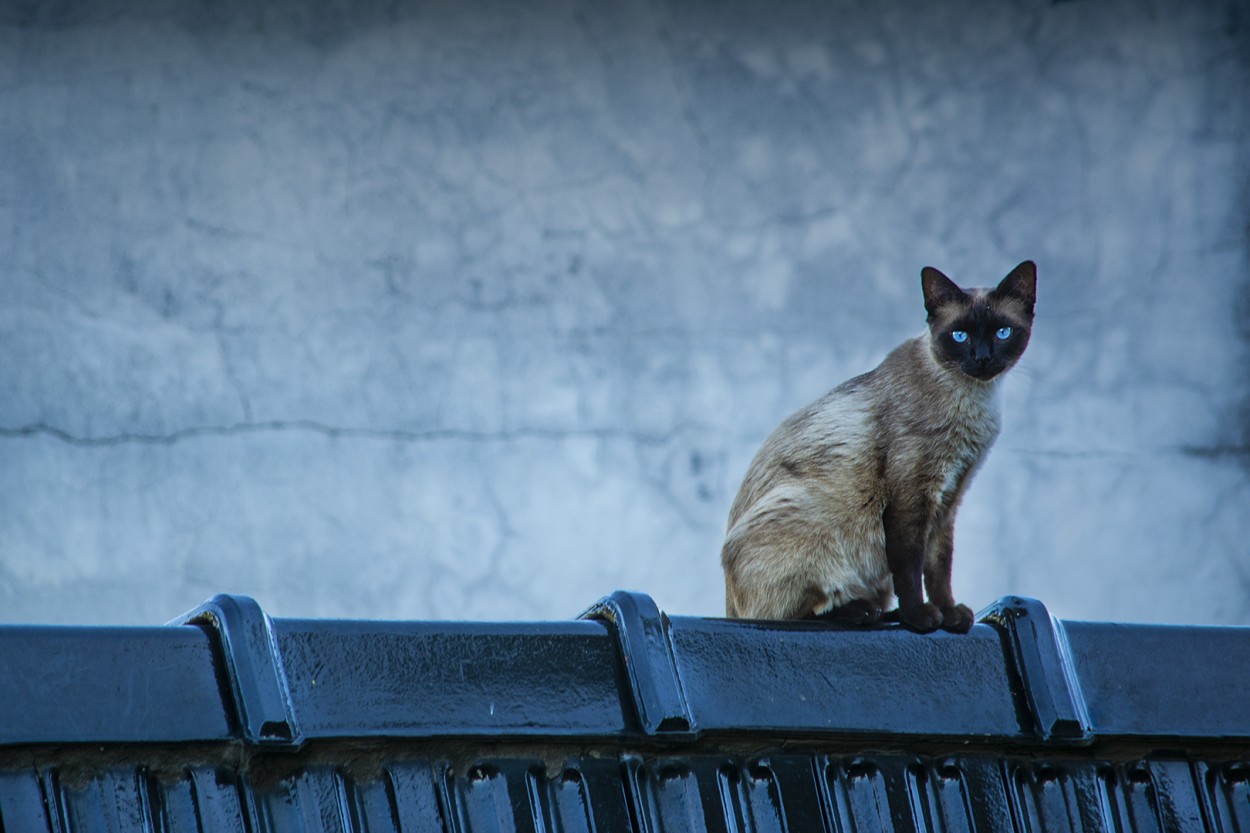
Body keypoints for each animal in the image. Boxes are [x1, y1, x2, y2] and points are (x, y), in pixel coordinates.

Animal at [725, 262, 1035, 632]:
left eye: (1003, 332)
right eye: (960, 336)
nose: (983, 358)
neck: (973, 400)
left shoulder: (949, 499)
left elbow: (939, 569)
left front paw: (949, 615)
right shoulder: (911, 496)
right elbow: (910, 567)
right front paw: (921, 618)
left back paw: (885, 613)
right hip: (810, 524)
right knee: (790, 614)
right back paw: (861, 612)